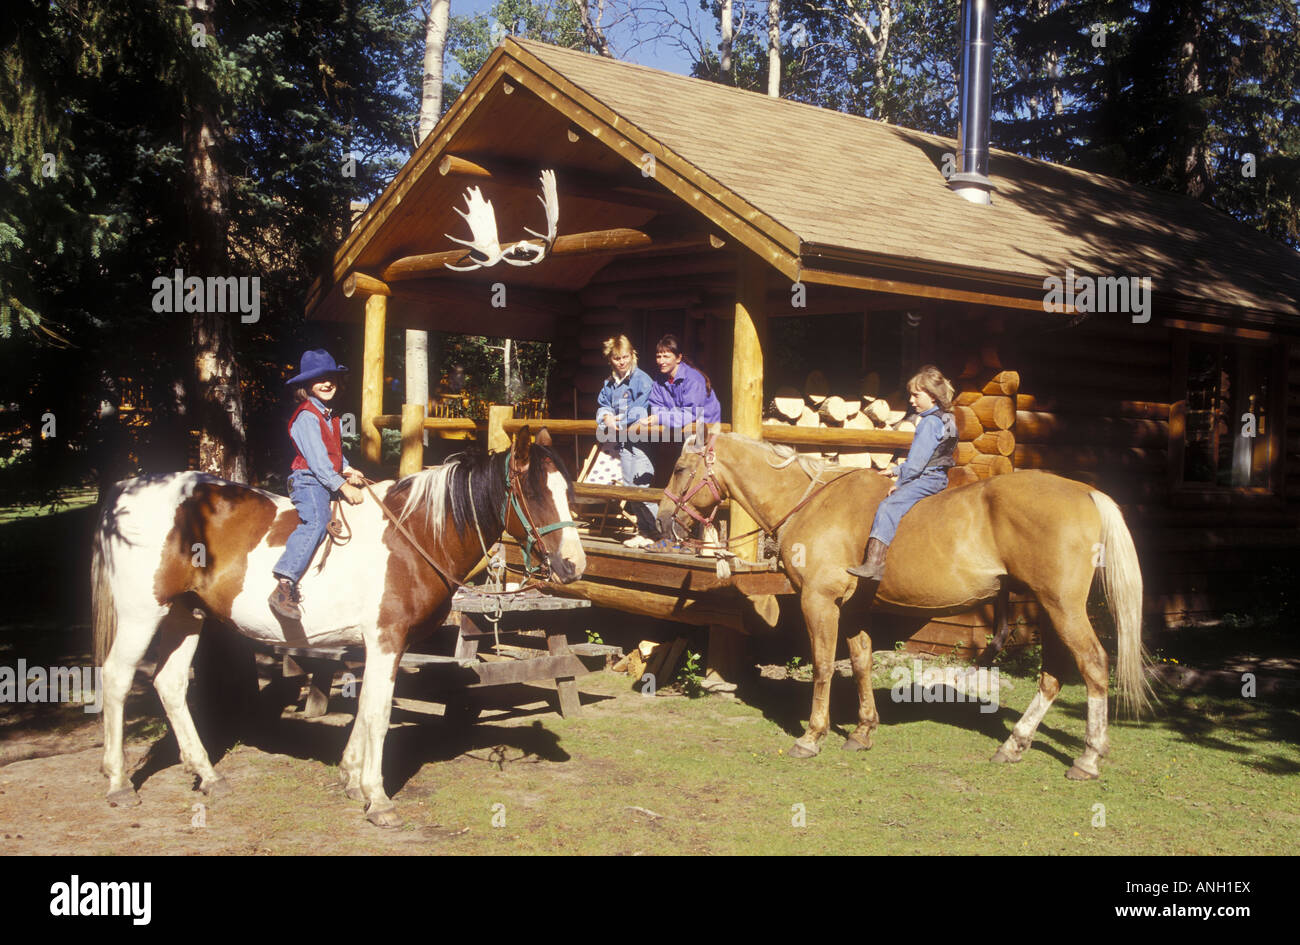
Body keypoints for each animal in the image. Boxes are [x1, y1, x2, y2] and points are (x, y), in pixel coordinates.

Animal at [89, 426, 582, 826]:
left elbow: (364, 708)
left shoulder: (380, 645)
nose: (574, 565)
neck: (415, 533)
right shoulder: (385, 639)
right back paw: (118, 784)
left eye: (568, 491)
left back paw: (208, 775)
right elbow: (378, 713)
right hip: (142, 614)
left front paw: (350, 776)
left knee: (170, 684)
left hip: (185, 614)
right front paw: (377, 799)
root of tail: (126, 491)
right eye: (537, 493)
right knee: (116, 679)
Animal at [660, 431, 1149, 779]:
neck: (812, 502)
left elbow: (822, 666)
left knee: (1094, 665)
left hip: (1063, 608)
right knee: (1053, 676)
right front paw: (862, 731)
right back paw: (1016, 744)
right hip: (1049, 611)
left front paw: (812, 736)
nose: (664, 518)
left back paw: (1088, 757)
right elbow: (859, 663)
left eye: (681, 467)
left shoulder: (819, 602)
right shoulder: (853, 610)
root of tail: (1084, 492)